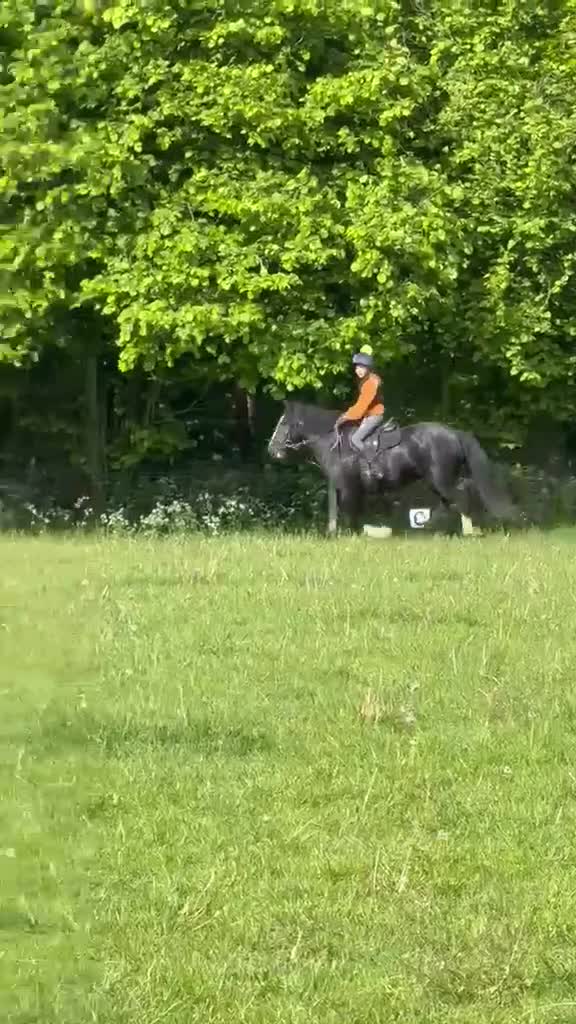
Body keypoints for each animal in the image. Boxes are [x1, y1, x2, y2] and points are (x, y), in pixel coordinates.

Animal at [268, 401, 519, 534]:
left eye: (283, 423)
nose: (272, 449)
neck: (335, 443)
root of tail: (454, 433)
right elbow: (353, 512)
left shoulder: (349, 488)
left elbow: (349, 511)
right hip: (437, 480)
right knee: (450, 501)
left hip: (440, 479)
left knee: (459, 496)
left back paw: (464, 530)